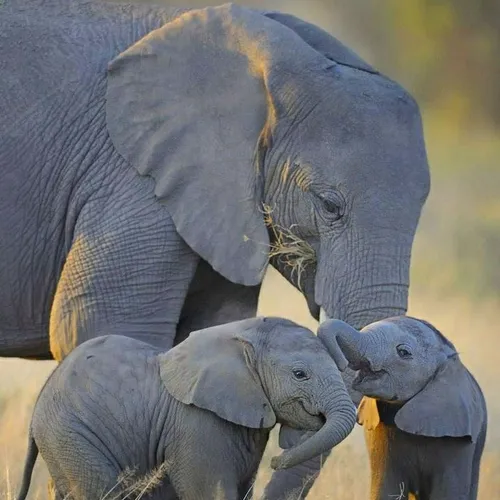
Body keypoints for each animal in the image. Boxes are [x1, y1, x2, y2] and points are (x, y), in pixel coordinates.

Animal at [17, 316, 358, 500]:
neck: (243, 335)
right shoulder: (196, 426)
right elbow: (212, 492)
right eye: (300, 375)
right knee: (101, 490)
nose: (276, 461)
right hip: (70, 435)